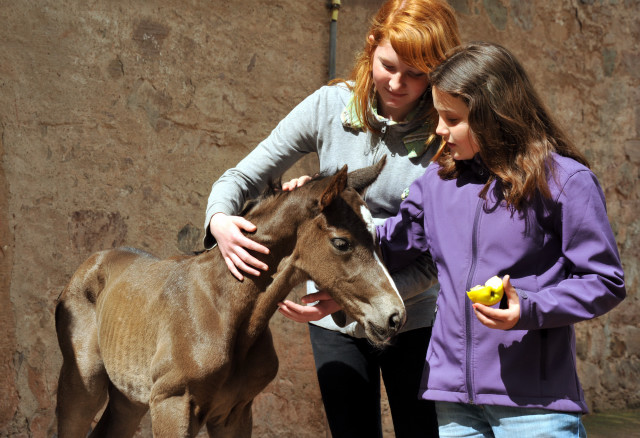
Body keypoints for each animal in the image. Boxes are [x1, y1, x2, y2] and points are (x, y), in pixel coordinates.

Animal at [56, 159, 404, 436]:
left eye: (377, 238)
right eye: (341, 243)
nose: (395, 316)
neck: (225, 310)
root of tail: (95, 260)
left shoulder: (234, 412)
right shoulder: (172, 403)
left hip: (128, 397)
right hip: (83, 384)